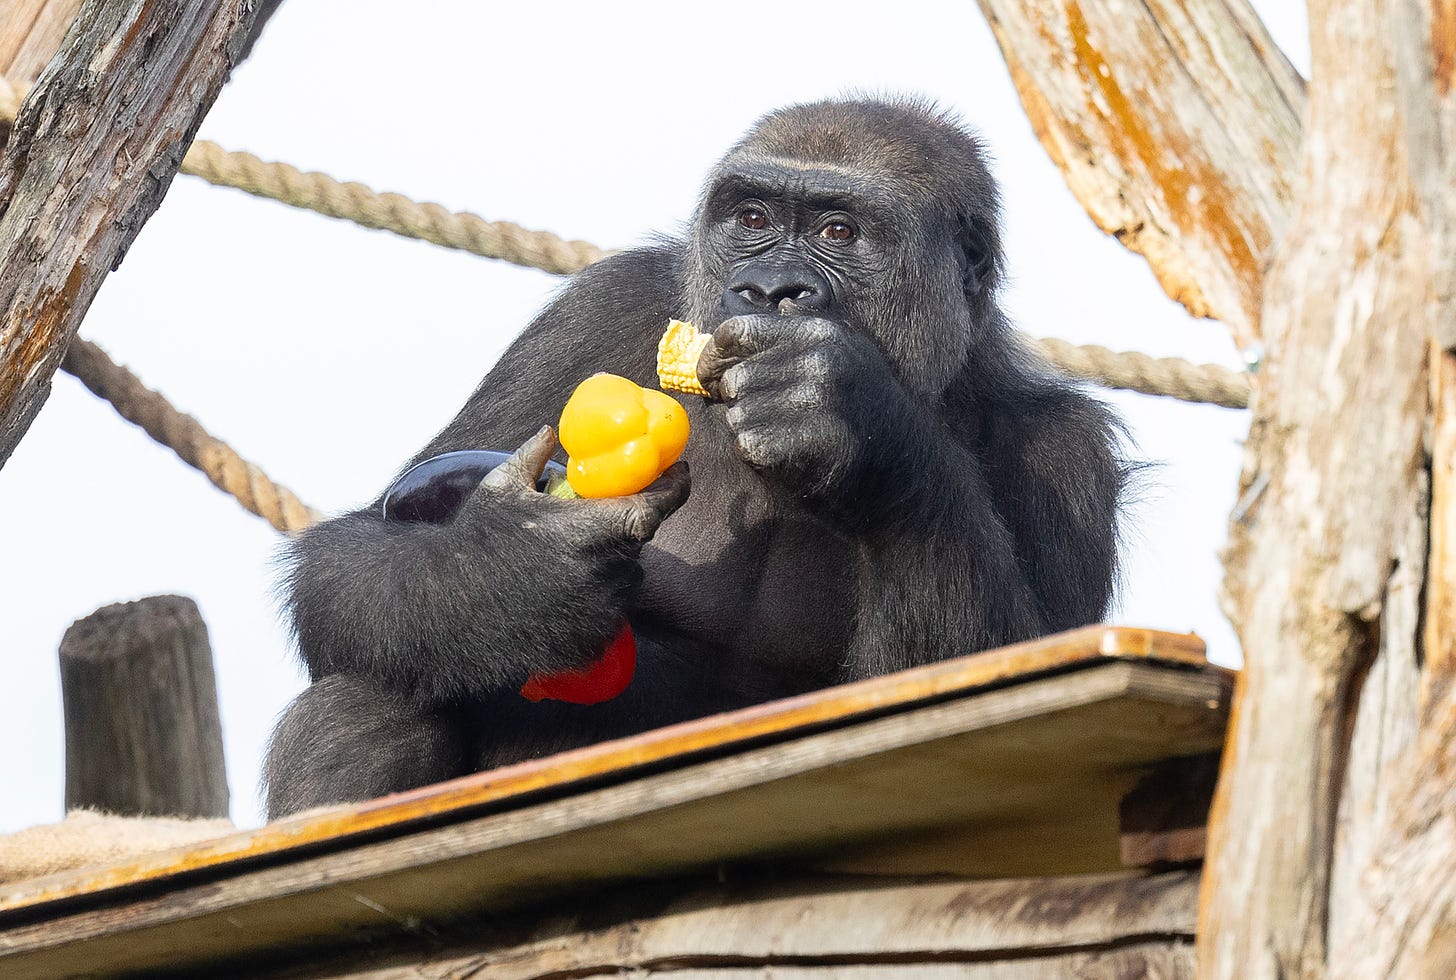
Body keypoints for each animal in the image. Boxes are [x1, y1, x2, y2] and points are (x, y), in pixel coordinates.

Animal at [264, 99, 1124, 815]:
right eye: (752, 216)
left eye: (838, 233)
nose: (769, 289)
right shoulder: (604, 302)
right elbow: (367, 545)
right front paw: (506, 572)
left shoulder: (1069, 455)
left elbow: (980, 692)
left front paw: (857, 420)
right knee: (373, 685)